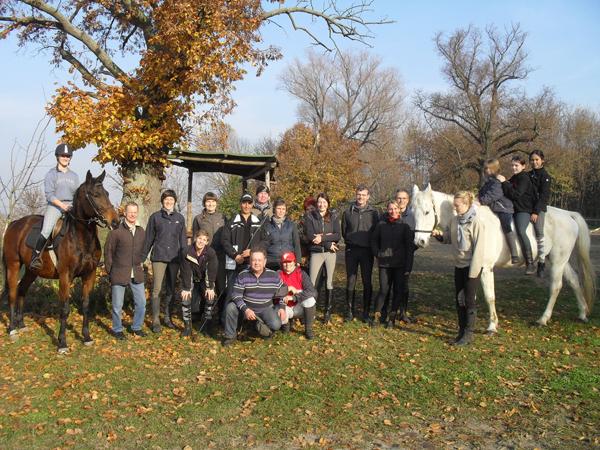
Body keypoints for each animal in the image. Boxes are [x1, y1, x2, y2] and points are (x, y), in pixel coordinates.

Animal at [2, 171, 119, 354]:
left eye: (106, 193)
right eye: (95, 194)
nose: (115, 221)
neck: (80, 237)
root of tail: (14, 224)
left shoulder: (89, 274)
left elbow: (86, 305)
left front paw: (87, 337)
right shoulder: (66, 276)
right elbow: (64, 309)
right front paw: (62, 343)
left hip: (31, 271)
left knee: (22, 290)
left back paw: (21, 325)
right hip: (13, 265)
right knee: (13, 293)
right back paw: (13, 329)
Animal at [410, 184, 592, 334]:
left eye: (427, 212)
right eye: (412, 213)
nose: (419, 241)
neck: (471, 219)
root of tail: (568, 214)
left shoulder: (484, 268)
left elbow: (489, 296)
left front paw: (492, 325)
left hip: (557, 261)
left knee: (555, 287)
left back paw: (543, 319)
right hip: (559, 260)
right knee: (574, 281)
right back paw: (582, 313)